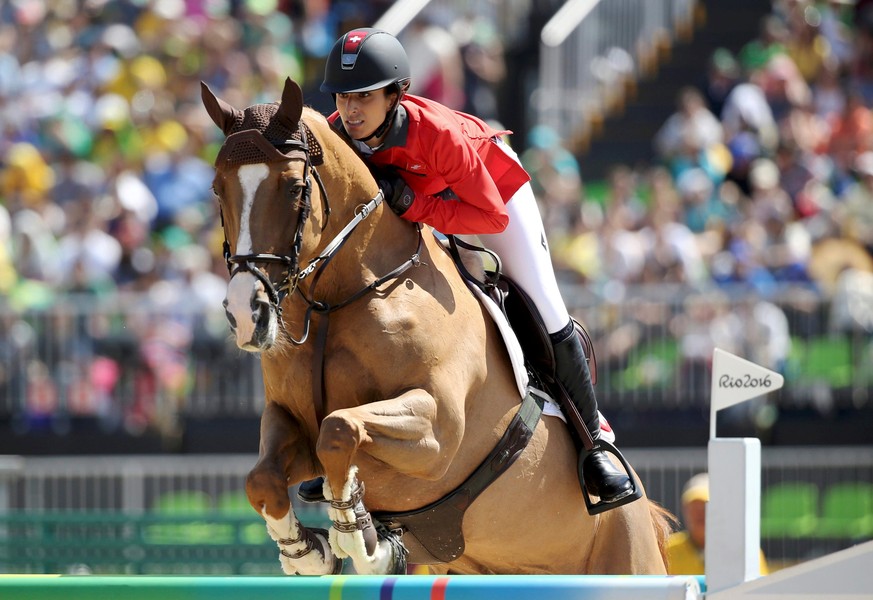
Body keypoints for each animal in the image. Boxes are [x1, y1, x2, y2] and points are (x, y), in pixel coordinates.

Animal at [201, 77, 672, 576]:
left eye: (293, 188)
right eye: (217, 189)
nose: (245, 313)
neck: (339, 300)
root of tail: (646, 513)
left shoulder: (437, 429)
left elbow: (341, 429)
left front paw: (358, 537)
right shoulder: (289, 419)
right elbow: (263, 478)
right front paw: (308, 551)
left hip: (626, 557)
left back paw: (607, 474)